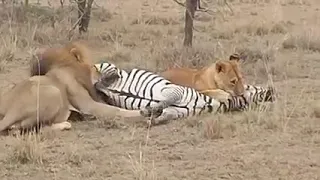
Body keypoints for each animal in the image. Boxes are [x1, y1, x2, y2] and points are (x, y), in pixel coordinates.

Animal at [0, 40, 140, 134]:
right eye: (95, 67)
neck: (68, 67)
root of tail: (12, 111)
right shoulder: (88, 106)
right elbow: (116, 110)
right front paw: (142, 112)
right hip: (54, 92)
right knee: (38, 128)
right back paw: (65, 124)